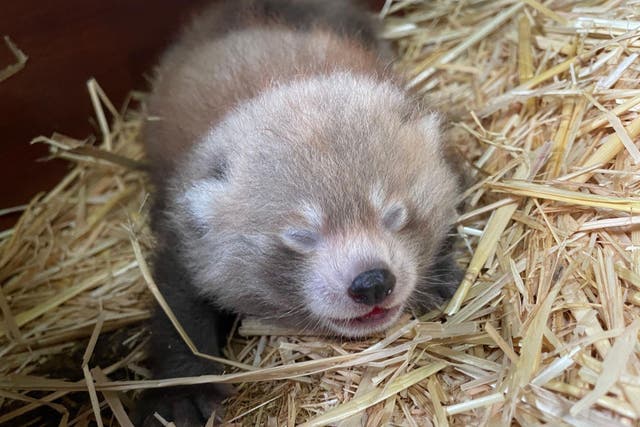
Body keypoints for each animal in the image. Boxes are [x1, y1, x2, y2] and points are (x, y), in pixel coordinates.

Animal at [139, 1, 460, 426]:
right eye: (301, 237)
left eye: (394, 215)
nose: (372, 282)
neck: (282, 82)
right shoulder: (183, 235)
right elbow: (176, 310)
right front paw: (181, 394)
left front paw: (438, 275)